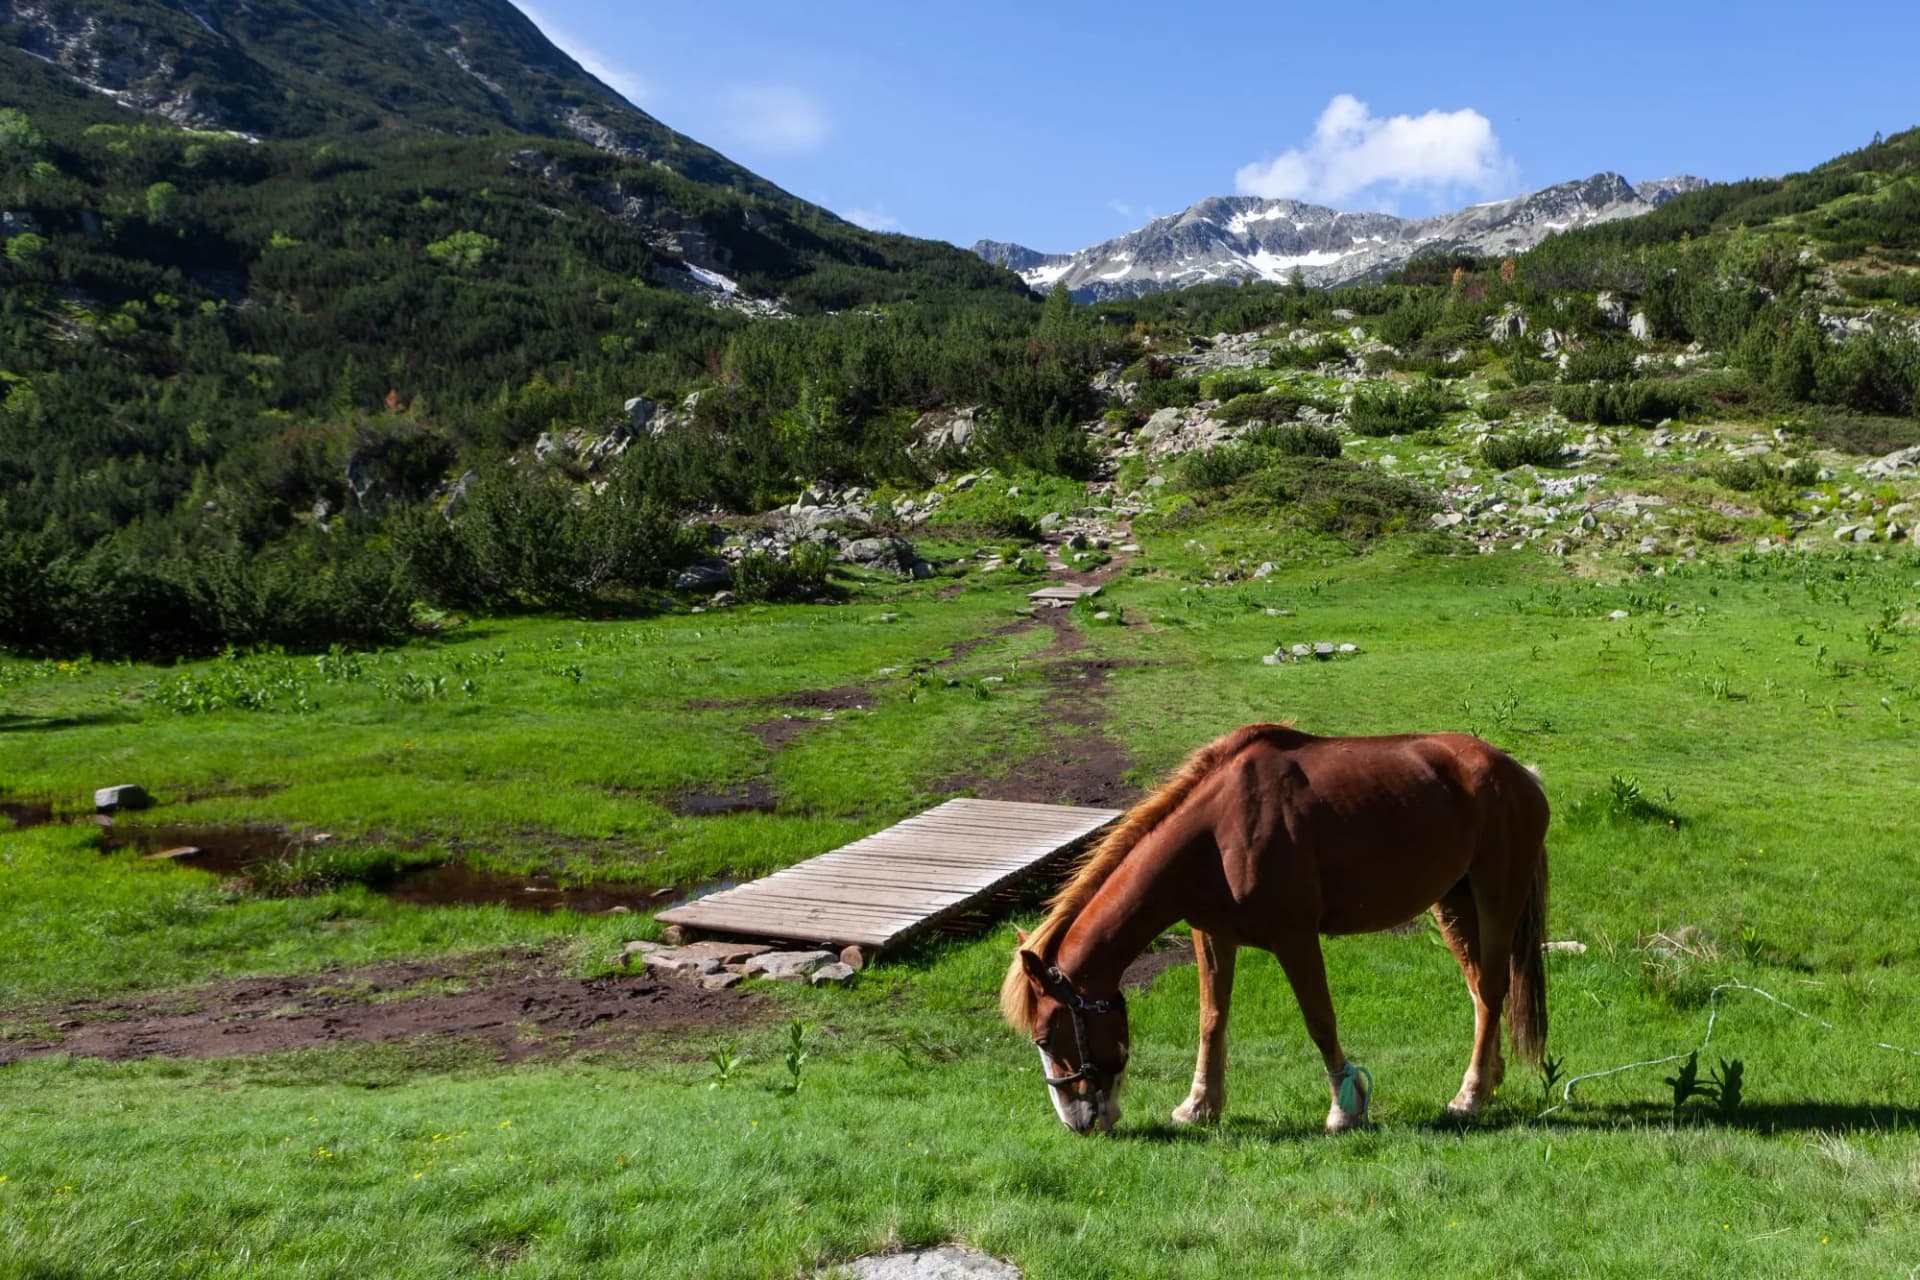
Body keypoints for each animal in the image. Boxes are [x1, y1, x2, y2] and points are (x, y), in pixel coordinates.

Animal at [1000, 722, 1550, 1135]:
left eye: (1045, 1038)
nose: (1075, 1121)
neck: (1216, 833)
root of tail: (1520, 774)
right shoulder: (1212, 935)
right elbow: (1211, 1018)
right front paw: (1199, 1106)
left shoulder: (1295, 938)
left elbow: (1319, 1020)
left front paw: (1345, 1108)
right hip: (1453, 904)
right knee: (1479, 990)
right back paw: (1487, 1080)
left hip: (1495, 899)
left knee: (1493, 988)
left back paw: (1470, 1095)